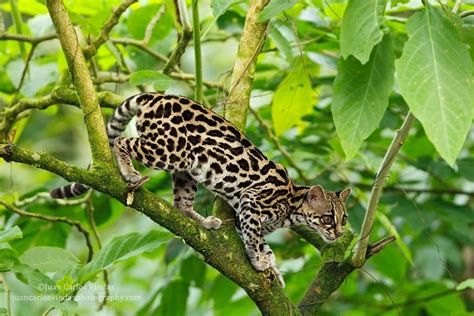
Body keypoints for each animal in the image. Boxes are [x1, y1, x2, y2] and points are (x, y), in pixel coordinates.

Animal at [51, 92, 350, 286]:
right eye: (327, 218)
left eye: (344, 218)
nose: (339, 233)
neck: (292, 204)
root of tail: (155, 96)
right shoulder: (250, 203)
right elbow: (254, 239)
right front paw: (259, 261)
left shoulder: (245, 215)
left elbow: (263, 243)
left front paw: (272, 267)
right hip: (169, 150)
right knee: (123, 142)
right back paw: (128, 171)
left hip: (187, 168)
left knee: (180, 204)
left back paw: (203, 221)